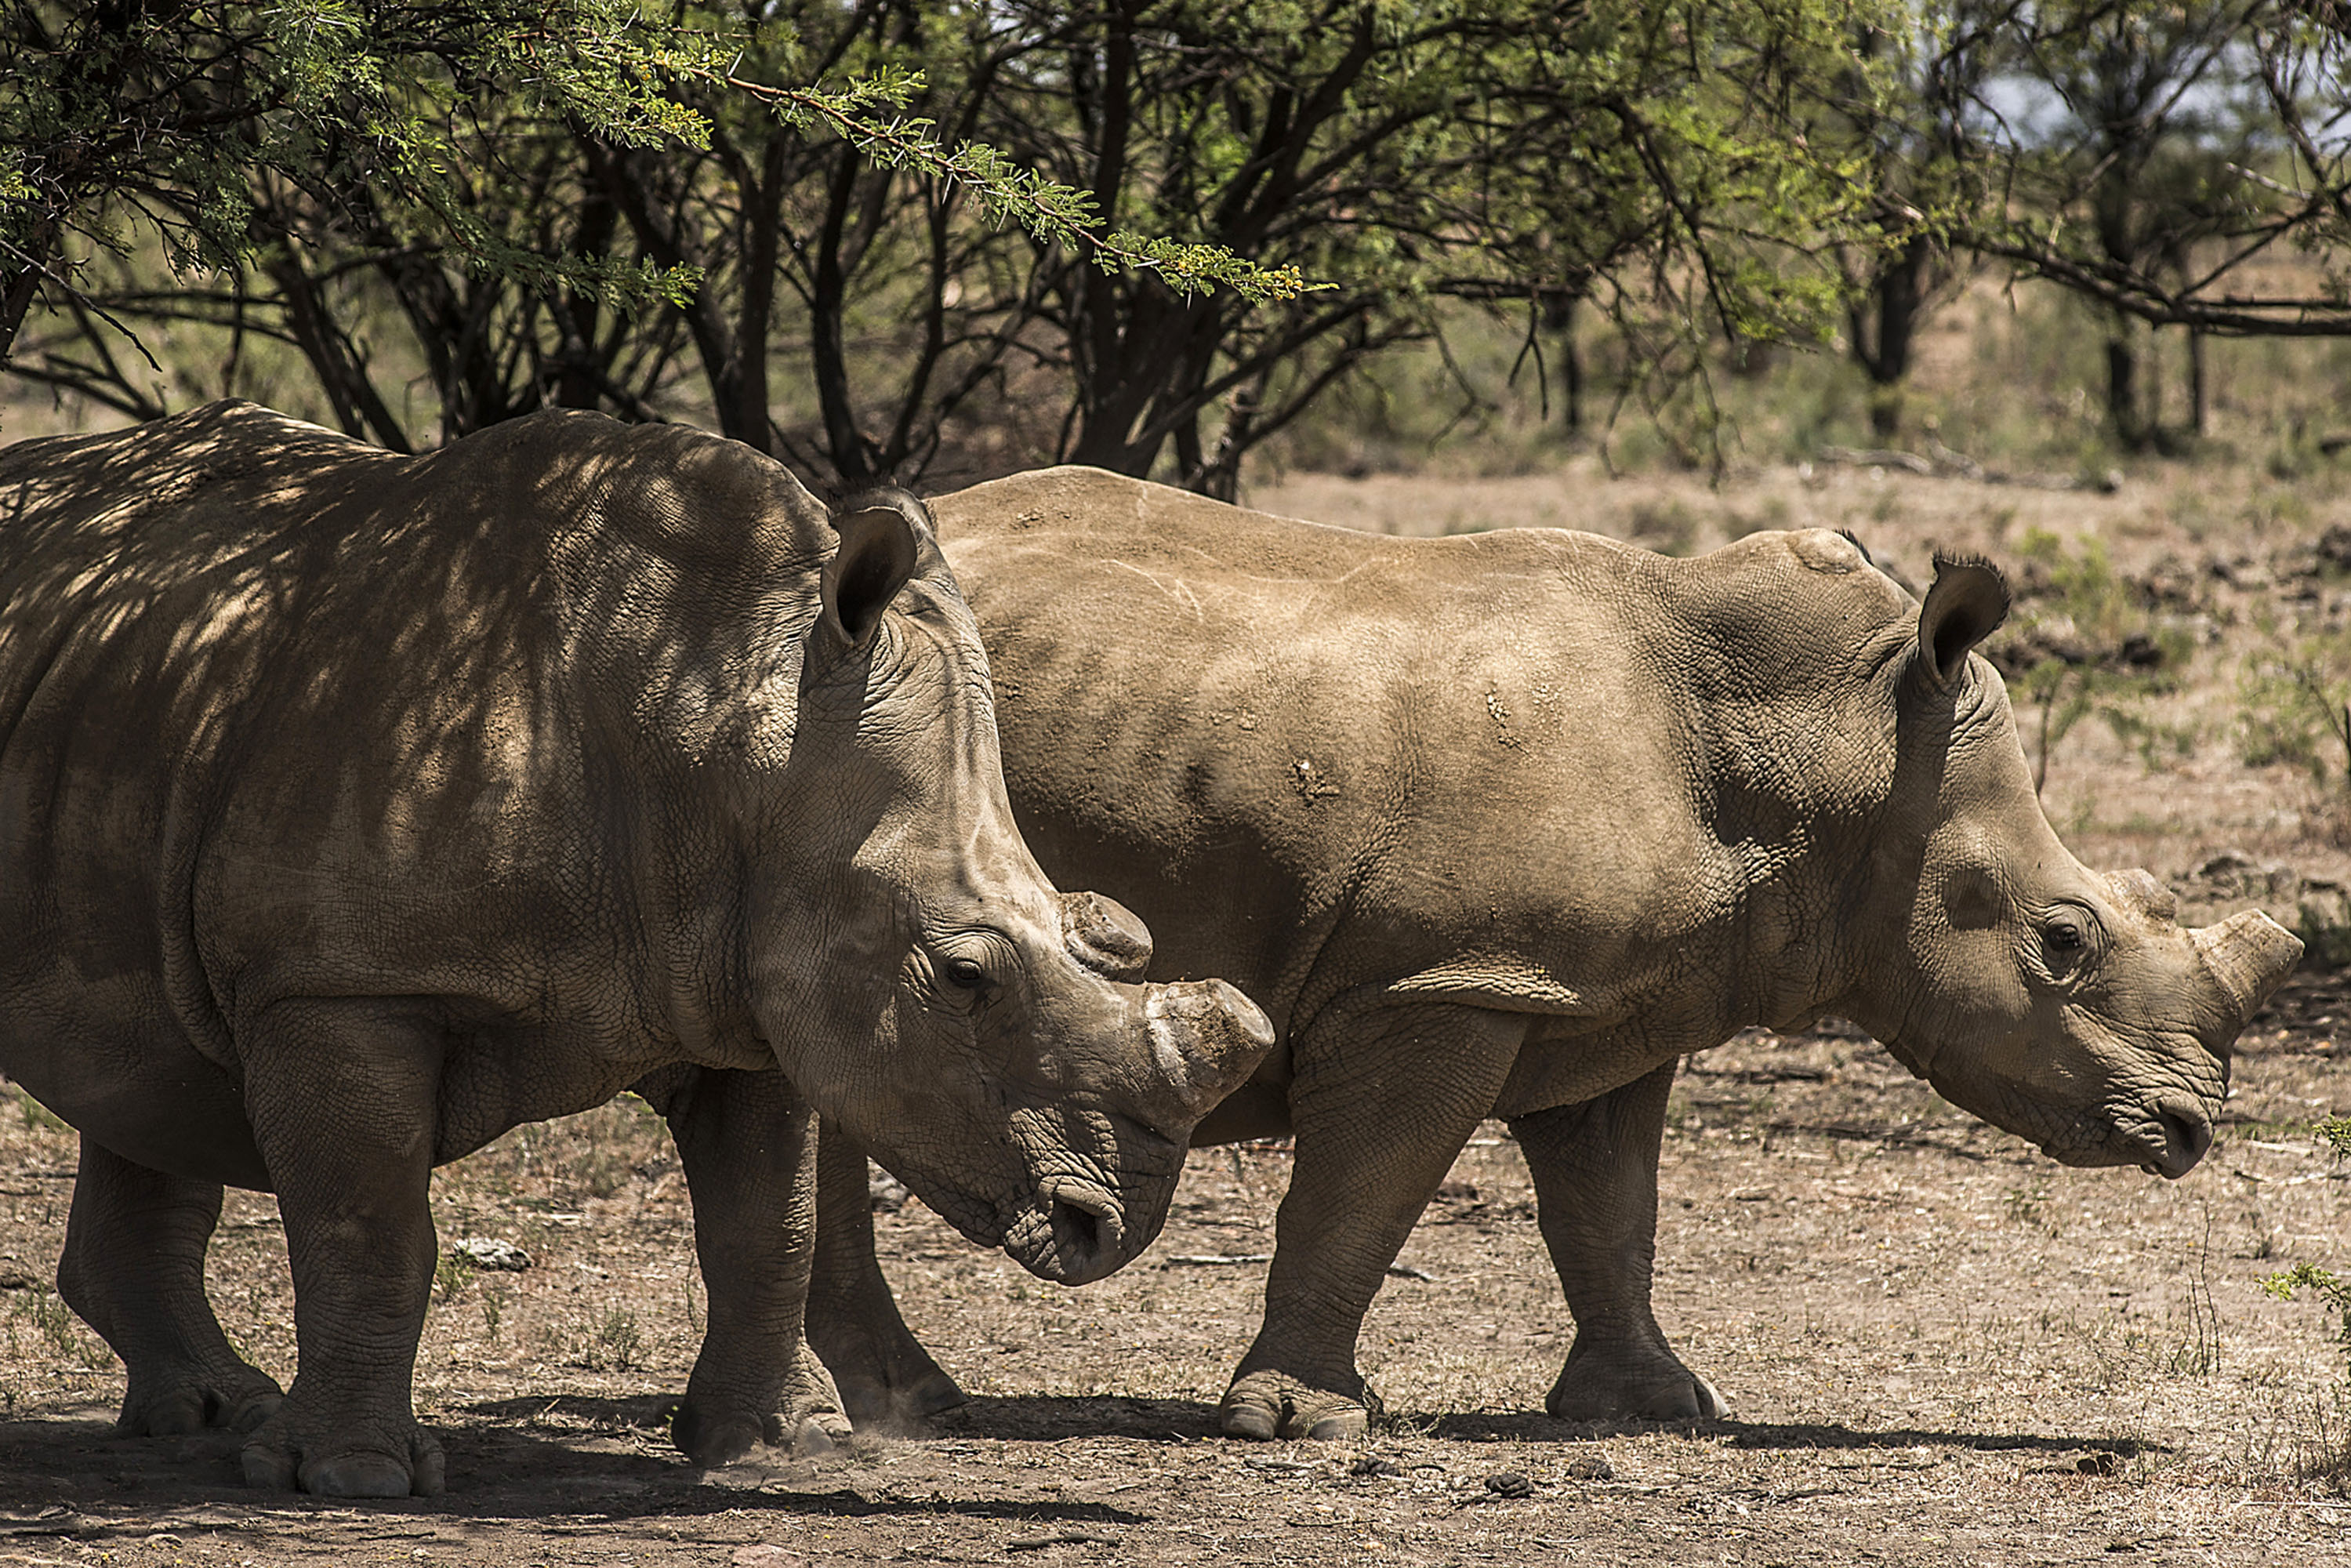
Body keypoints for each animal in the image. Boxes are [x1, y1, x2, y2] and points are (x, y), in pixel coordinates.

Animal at [0, 413, 1269, 1495]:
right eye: (965, 978)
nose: (1107, 1226)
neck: (726, 737)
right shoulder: (339, 983)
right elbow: (371, 1230)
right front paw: (355, 1477)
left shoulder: (753, 975)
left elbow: (767, 1226)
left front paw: (771, 1448)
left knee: (152, 1074)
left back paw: (218, 1415)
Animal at [799, 470, 2304, 1448]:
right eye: (2061, 940)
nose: (2189, 1124)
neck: (1834, 751)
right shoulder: (1444, 979)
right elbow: (1363, 1193)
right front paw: (1301, 1425)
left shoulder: (1605, 1001)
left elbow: (1607, 1211)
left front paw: (1657, 1412)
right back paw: (898, 1413)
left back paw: (910, 1410)